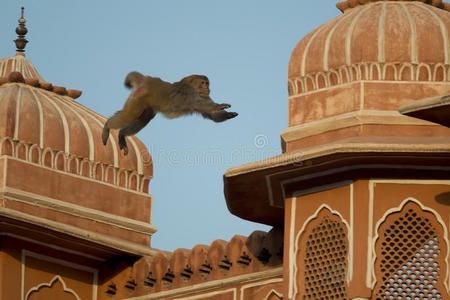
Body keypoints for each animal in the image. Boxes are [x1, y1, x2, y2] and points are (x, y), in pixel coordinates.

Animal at [100, 71, 237, 154]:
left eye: (207, 83)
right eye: (203, 83)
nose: (207, 88)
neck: (192, 87)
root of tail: (147, 79)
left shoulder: (203, 96)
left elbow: (212, 115)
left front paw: (228, 114)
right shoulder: (189, 93)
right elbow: (201, 104)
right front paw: (220, 105)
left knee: (144, 119)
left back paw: (122, 134)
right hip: (139, 98)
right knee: (129, 116)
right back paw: (107, 126)